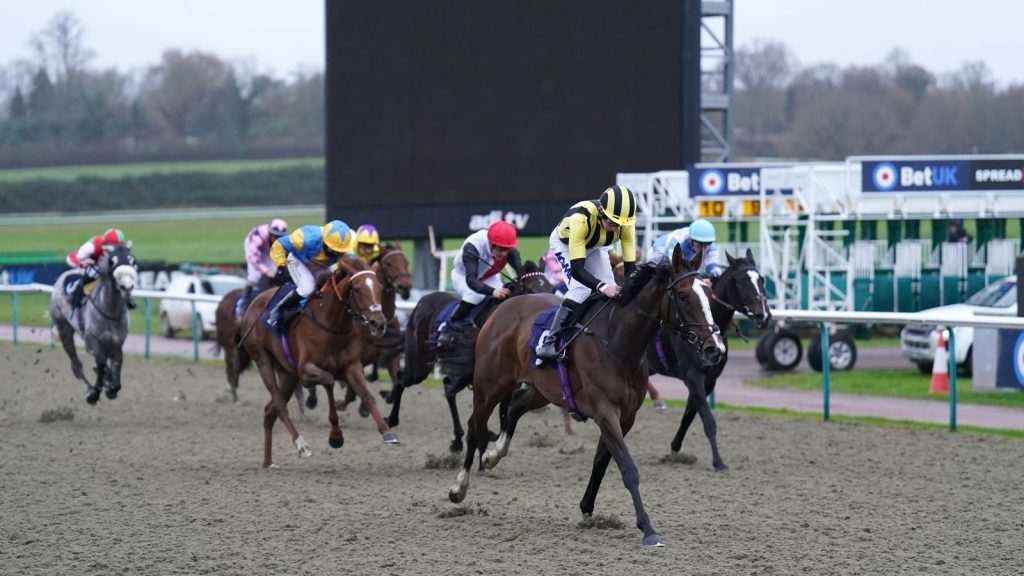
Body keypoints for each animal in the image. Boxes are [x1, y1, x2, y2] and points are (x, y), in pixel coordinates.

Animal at [48, 243, 138, 401]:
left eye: (133, 261)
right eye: (112, 262)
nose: (126, 287)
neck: (110, 311)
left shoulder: (116, 344)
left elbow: (116, 369)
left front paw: (111, 386)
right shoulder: (91, 341)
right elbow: (101, 362)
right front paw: (96, 391)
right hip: (64, 327)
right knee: (76, 365)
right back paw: (89, 390)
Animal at [237, 256, 393, 467]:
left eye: (379, 287)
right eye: (357, 289)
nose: (379, 323)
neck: (333, 324)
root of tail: (253, 304)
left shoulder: (352, 366)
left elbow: (368, 396)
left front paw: (387, 432)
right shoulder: (306, 371)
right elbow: (329, 381)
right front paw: (336, 436)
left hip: (288, 374)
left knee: (270, 411)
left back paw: (268, 462)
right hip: (263, 361)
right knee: (280, 406)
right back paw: (301, 444)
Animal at [446, 245, 720, 541]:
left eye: (708, 294)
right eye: (682, 295)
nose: (714, 348)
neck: (619, 342)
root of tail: (502, 308)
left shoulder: (625, 417)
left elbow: (602, 460)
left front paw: (587, 506)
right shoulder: (605, 411)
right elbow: (628, 467)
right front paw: (648, 529)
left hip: (542, 389)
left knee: (515, 406)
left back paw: (493, 455)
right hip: (491, 383)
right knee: (476, 425)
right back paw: (459, 486)